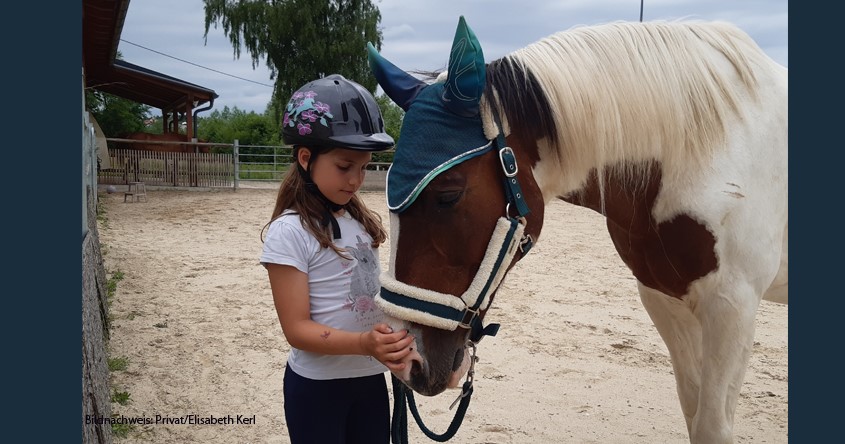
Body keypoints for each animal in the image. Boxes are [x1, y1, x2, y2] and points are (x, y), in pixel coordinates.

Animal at [368, 17, 787, 443]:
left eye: (448, 195)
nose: (407, 358)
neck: (705, 150)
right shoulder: (665, 299)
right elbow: (691, 405)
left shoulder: (732, 307)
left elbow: (711, 424)